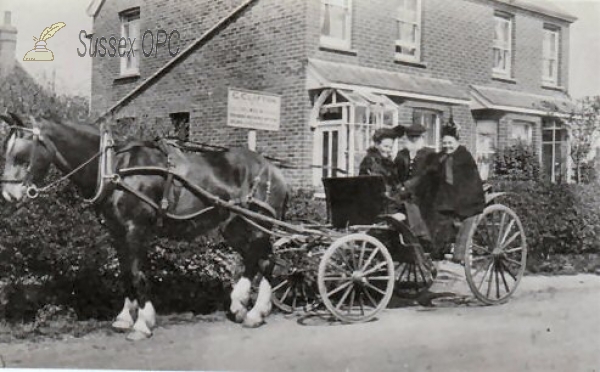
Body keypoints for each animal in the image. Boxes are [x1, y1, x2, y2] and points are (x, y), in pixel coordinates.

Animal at [0, 112, 290, 340]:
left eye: (21, 154)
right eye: (6, 150)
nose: (8, 195)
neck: (116, 168)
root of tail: (272, 169)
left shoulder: (135, 229)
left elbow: (138, 274)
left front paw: (142, 323)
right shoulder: (117, 231)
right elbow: (126, 273)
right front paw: (124, 318)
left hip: (259, 223)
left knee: (267, 261)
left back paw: (256, 312)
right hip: (235, 225)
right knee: (252, 258)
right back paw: (239, 305)